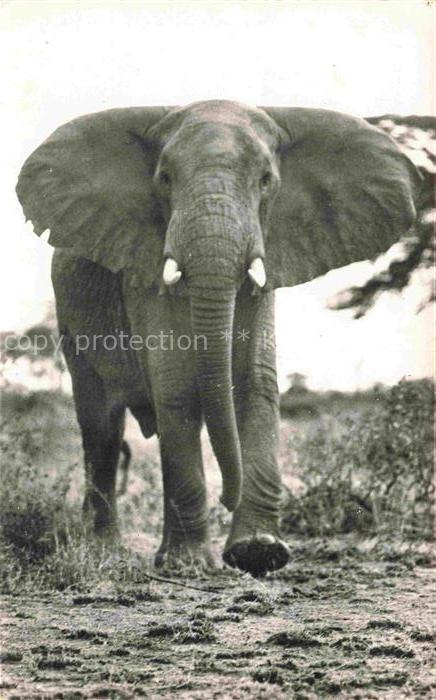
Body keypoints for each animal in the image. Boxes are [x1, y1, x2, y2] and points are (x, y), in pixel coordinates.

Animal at [16, 100, 419, 577]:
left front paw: (258, 552)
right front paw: (191, 564)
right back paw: (107, 551)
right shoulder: (144, 268)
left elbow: (256, 381)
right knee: (101, 428)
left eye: (266, 180)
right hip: (72, 325)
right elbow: (176, 389)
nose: (229, 496)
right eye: (164, 178)